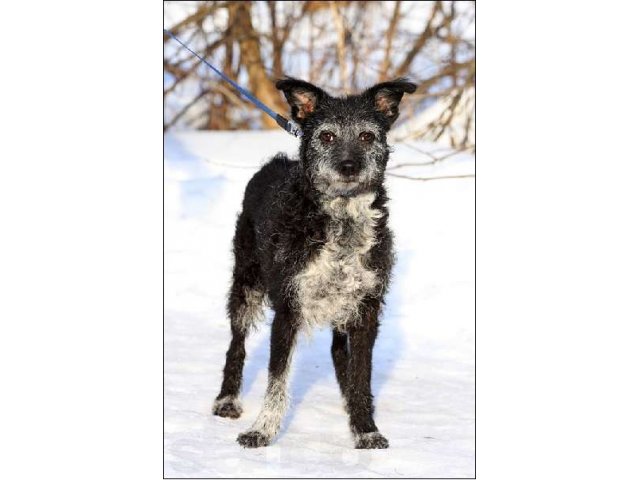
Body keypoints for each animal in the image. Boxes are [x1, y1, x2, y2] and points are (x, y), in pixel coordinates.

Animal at [212, 77, 418, 448]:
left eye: (367, 136)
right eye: (327, 136)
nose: (349, 167)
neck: (343, 219)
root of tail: (273, 163)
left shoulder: (365, 310)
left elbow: (360, 374)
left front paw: (365, 428)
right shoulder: (288, 308)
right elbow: (277, 378)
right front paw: (262, 430)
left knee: (339, 353)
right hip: (246, 286)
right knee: (236, 344)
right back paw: (227, 399)